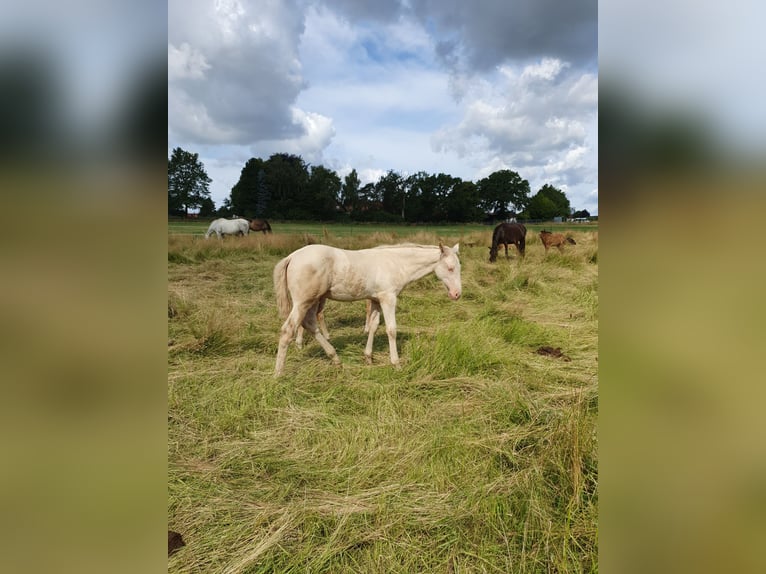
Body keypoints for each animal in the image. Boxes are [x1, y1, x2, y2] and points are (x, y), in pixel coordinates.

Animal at [274, 243, 462, 378]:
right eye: (450, 268)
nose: (456, 294)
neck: (395, 263)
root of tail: (292, 257)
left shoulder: (376, 300)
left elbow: (373, 326)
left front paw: (368, 358)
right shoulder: (388, 298)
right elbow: (391, 330)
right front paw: (396, 364)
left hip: (312, 301)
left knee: (309, 324)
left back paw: (335, 358)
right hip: (303, 301)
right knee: (288, 330)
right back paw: (278, 375)